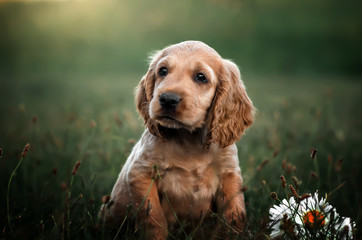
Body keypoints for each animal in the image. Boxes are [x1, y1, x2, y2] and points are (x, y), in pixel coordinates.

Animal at [102, 40, 255, 239]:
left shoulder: (229, 175)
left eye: (201, 77)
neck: (188, 139)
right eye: (163, 71)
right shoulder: (141, 173)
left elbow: (234, 215)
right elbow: (153, 217)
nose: (167, 99)